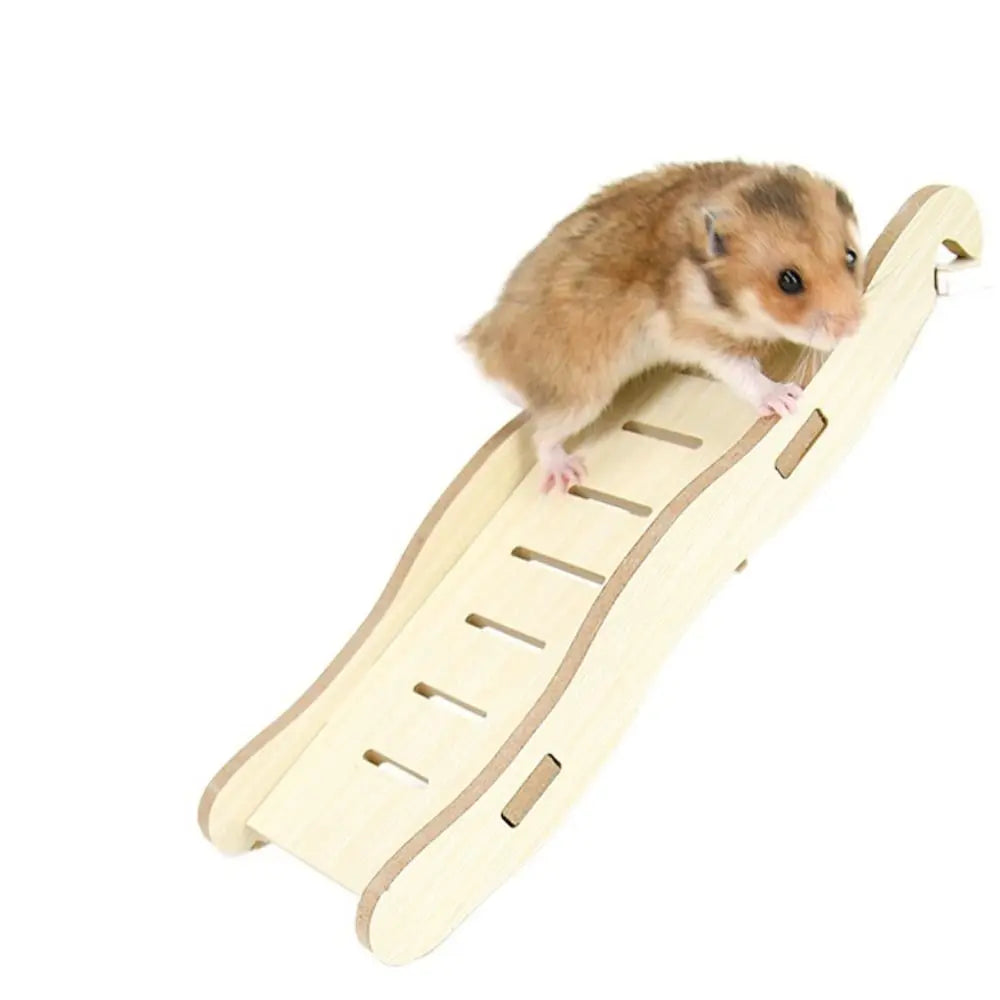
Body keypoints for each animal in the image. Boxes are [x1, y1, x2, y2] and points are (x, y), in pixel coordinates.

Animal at [464, 161, 864, 491]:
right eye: (788, 281)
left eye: (850, 256)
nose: (854, 327)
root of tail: (482, 350)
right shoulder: (695, 336)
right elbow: (742, 372)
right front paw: (785, 398)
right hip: (580, 397)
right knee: (541, 436)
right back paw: (566, 473)